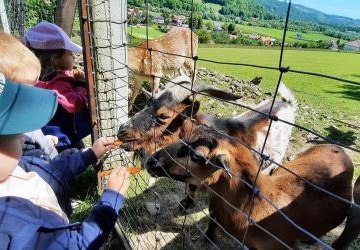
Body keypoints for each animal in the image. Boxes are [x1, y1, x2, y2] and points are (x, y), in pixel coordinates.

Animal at [144, 126, 358, 249]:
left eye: (197, 156)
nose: (150, 161)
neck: (255, 203)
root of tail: (338, 149)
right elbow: (213, 219)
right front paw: (209, 238)